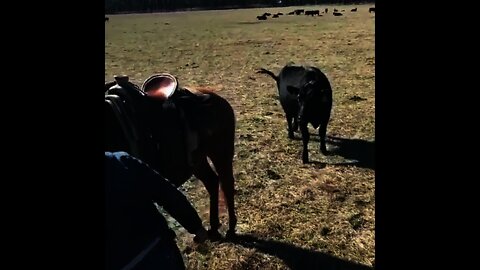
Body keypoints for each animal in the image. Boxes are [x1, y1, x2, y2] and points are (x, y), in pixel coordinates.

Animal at [107, 74, 238, 238]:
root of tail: (215, 98)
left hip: (220, 152)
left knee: (227, 185)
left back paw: (231, 229)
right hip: (197, 160)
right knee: (212, 182)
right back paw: (214, 228)